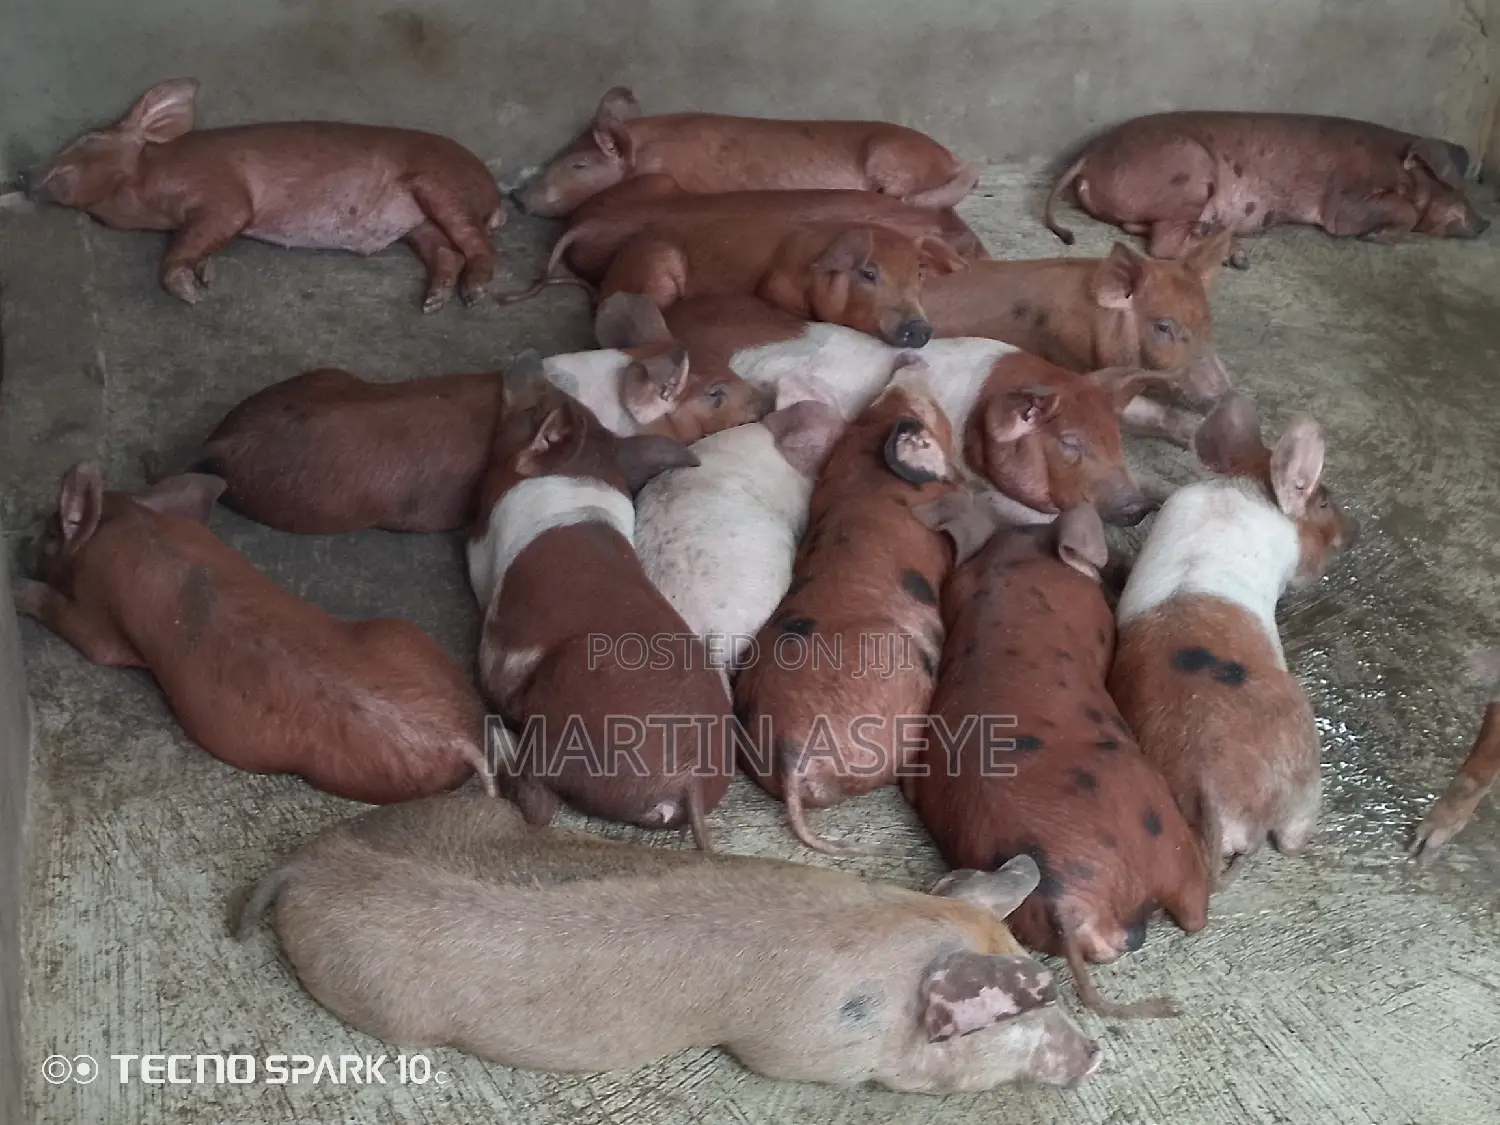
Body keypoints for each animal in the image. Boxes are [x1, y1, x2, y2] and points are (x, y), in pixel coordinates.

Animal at [13, 464, 494, 803]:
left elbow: (82, 632)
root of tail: (460, 740)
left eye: (52, 531)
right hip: (403, 635)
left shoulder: (101, 623)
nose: (19, 543)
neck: (128, 525)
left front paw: (17, 592)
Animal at [18, 78, 504, 311]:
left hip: (441, 186)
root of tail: (493, 191)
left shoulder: (223, 195)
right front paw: (207, 276)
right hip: (418, 224)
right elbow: (197, 244)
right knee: (446, 252)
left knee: (479, 245)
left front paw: (195, 295)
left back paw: (474, 295)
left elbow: (193, 242)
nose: (23, 174)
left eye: (88, 140)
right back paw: (432, 304)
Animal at [467, 353, 734, 849]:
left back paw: (499, 741)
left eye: (535, 410)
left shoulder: (501, 644)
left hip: (568, 696)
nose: (526, 359)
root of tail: (688, 780)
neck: (580, 480)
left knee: (539, 801)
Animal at [1045, 111, 1488, 261]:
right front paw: (1376, 237)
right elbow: (1397, 211)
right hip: (1190, 168)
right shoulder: (1344, 201)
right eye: (1455, 187)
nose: (1486, 223)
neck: (1397, 165)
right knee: (1162, 245)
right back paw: (1237, 255)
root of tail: (1089, 157)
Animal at [1108, 393, 1358, 872]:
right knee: (1292, 838)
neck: (1244, 485)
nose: (1354, 533)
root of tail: (1211, 796)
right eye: (1322, 502)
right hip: (1304, 768)